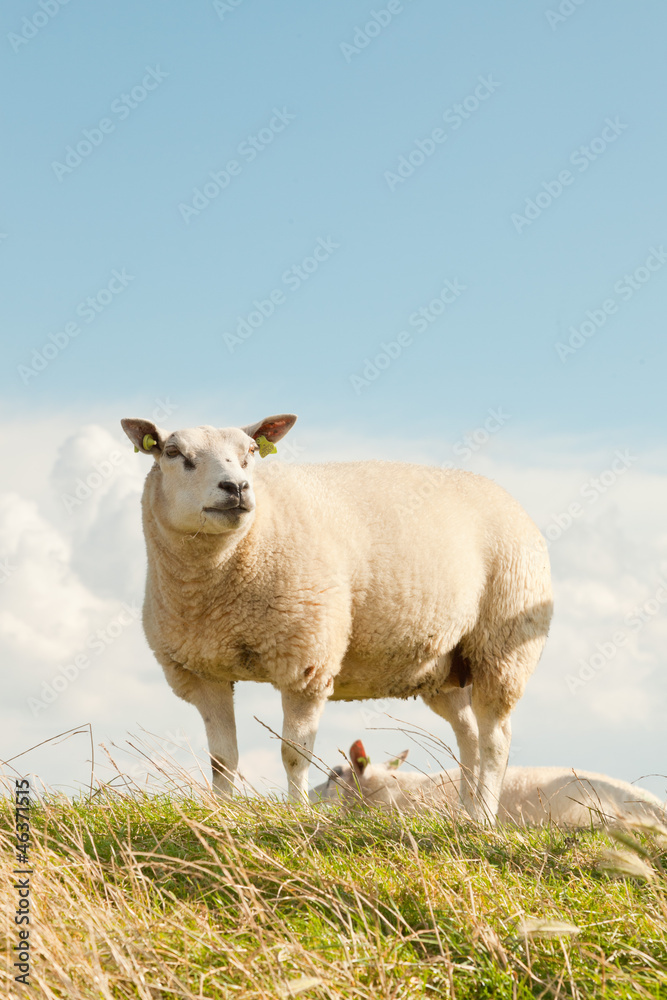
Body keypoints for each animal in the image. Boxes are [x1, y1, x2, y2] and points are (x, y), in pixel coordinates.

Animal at [120, 412, 552, 820]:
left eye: (252, 452)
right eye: (172, 452)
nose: (236, 488)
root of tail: (506, 496)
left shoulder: (307, 660)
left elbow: (294, 753)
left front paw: (296, 814)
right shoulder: (203, 672)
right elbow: (223, 761)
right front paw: (221, 813)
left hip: (504, 645)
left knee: (496, 741)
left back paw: (483, 817)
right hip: (446, 666)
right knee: (470, 738)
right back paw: (463, 813)